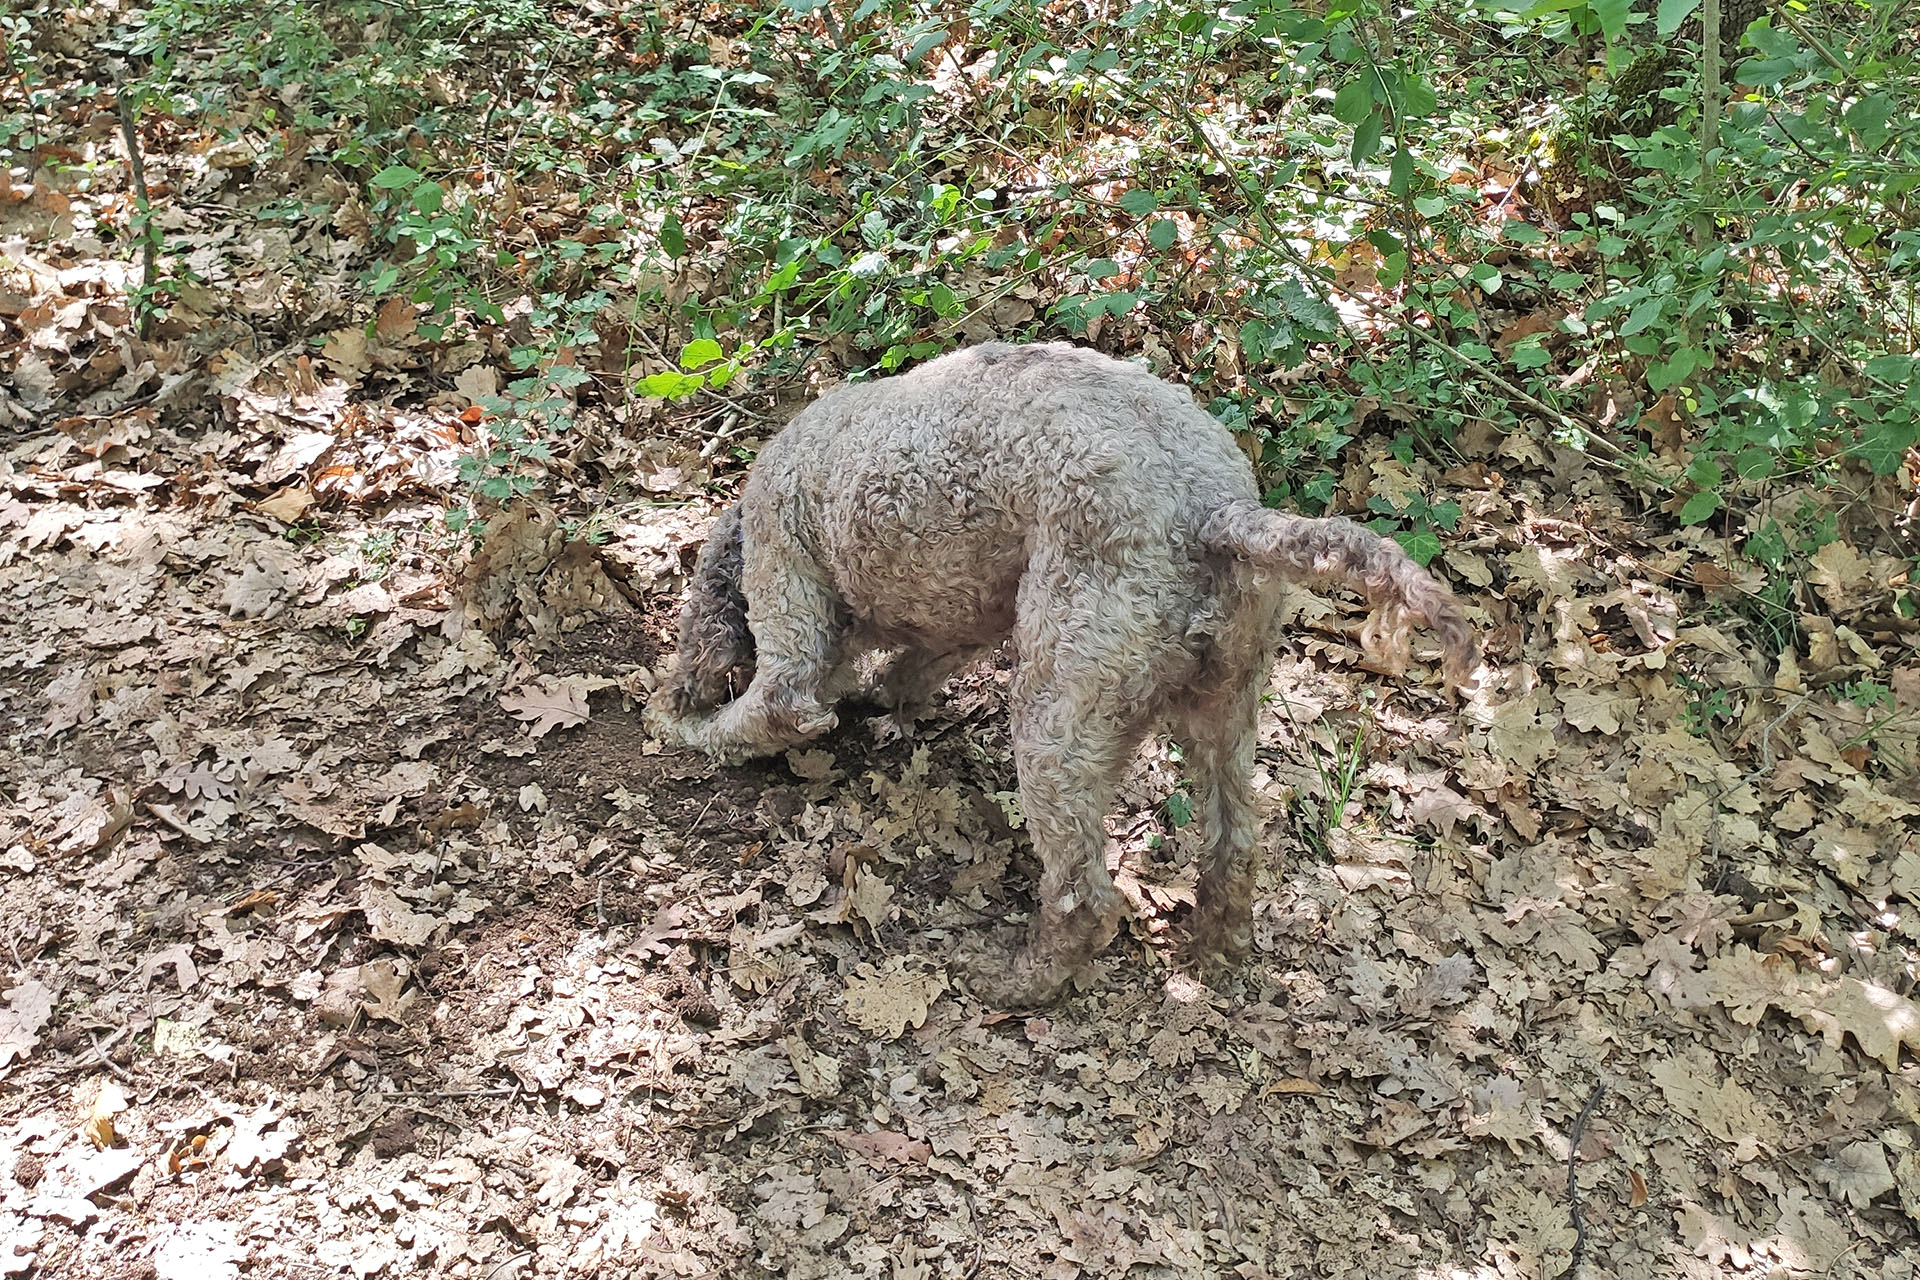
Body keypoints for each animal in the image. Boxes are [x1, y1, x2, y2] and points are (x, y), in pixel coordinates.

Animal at [645, 345, 1466, 1005]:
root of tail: (1216, 511)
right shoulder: (964, 619)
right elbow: (914, 665)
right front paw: (884, 701)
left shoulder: (788, 587)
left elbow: (776, 708)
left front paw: (680, 723)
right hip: (1224, 705)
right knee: (1235, 845)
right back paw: (1215, 954)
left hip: (1058, 713)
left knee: (1085, 898)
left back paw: (1013, 980)